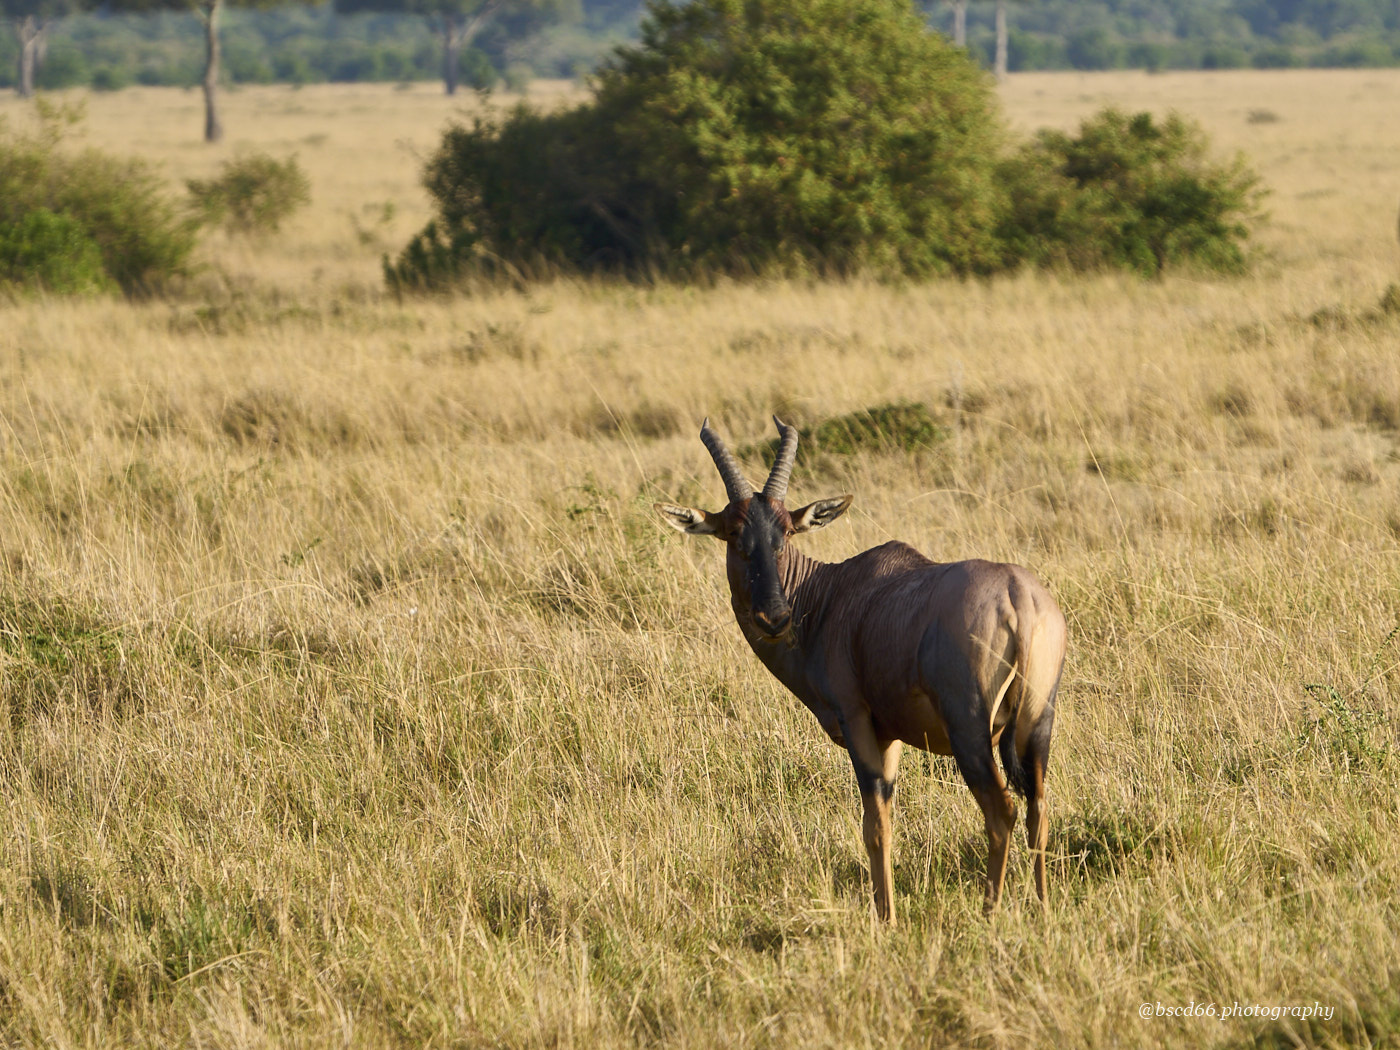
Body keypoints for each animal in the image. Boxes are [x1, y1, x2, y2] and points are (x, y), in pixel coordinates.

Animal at [656, 418, 1067, 922]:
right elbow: (887, 818)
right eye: (733, 533)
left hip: (970, 732)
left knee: (1001, 812)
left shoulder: (857, 723)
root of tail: (1017, 596)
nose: (774, 618)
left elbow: (873, 824)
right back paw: (1043, 910)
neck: (832, 594)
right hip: (1037, 724)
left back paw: (989, 915)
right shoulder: (890, 735)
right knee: (1038, 810)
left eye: (786, 533)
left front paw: (885, 917)